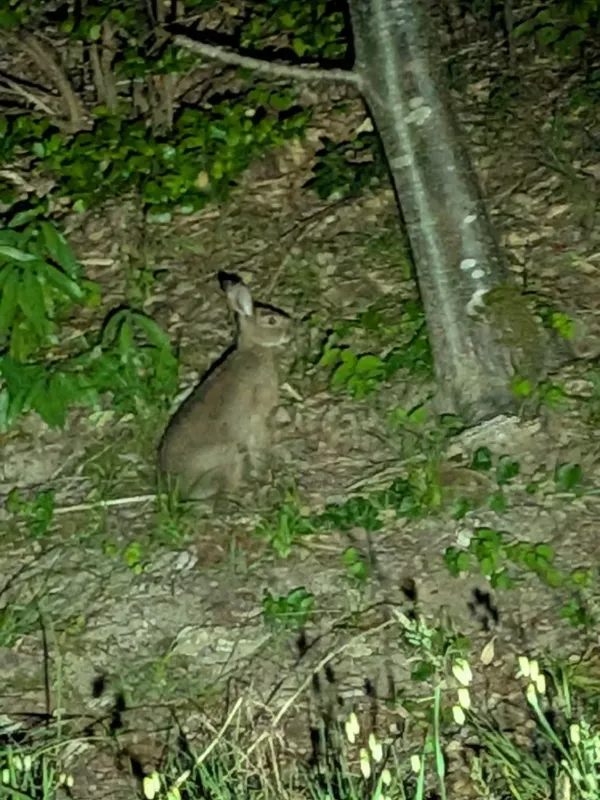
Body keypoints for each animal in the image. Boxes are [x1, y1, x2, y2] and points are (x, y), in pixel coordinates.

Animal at [158, 274, 293, 500]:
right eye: (272, 321)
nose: (291, 330)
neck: (254, 348)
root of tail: (178, 488)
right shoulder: (257, 416)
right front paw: (264, 466)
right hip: (228, 455)